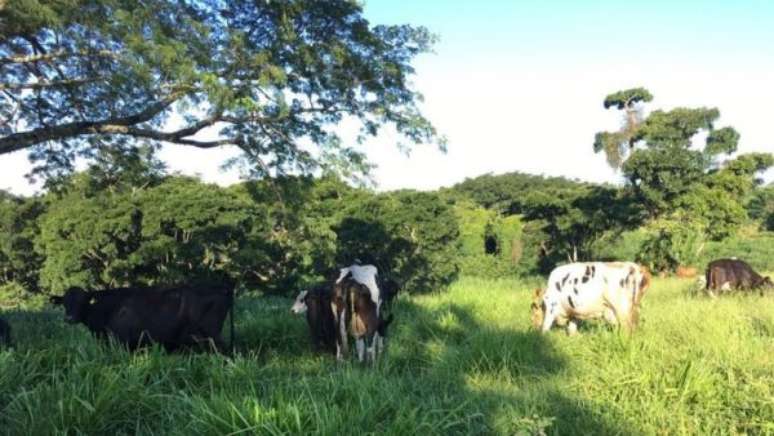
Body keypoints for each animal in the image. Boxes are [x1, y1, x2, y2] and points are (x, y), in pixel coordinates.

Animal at [50, 284, 235, 352]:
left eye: (82, 301)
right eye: (65, 302)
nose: (69, 318)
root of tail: (221, 290)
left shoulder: (122, 342)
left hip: (211, 336)